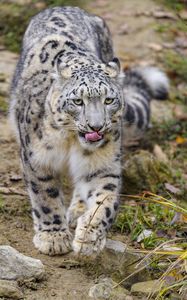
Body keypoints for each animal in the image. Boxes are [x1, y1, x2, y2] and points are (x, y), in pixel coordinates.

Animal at [9, 5, 169, 255]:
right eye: (78, 101)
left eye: (108, 100)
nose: (96, 126)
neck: (70, 141)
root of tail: (66, 6)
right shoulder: (37, 159)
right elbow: (45, 197)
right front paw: (53, 238)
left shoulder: (103, 164)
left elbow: (105, 200)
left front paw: (89, 238)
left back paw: (77, 211)